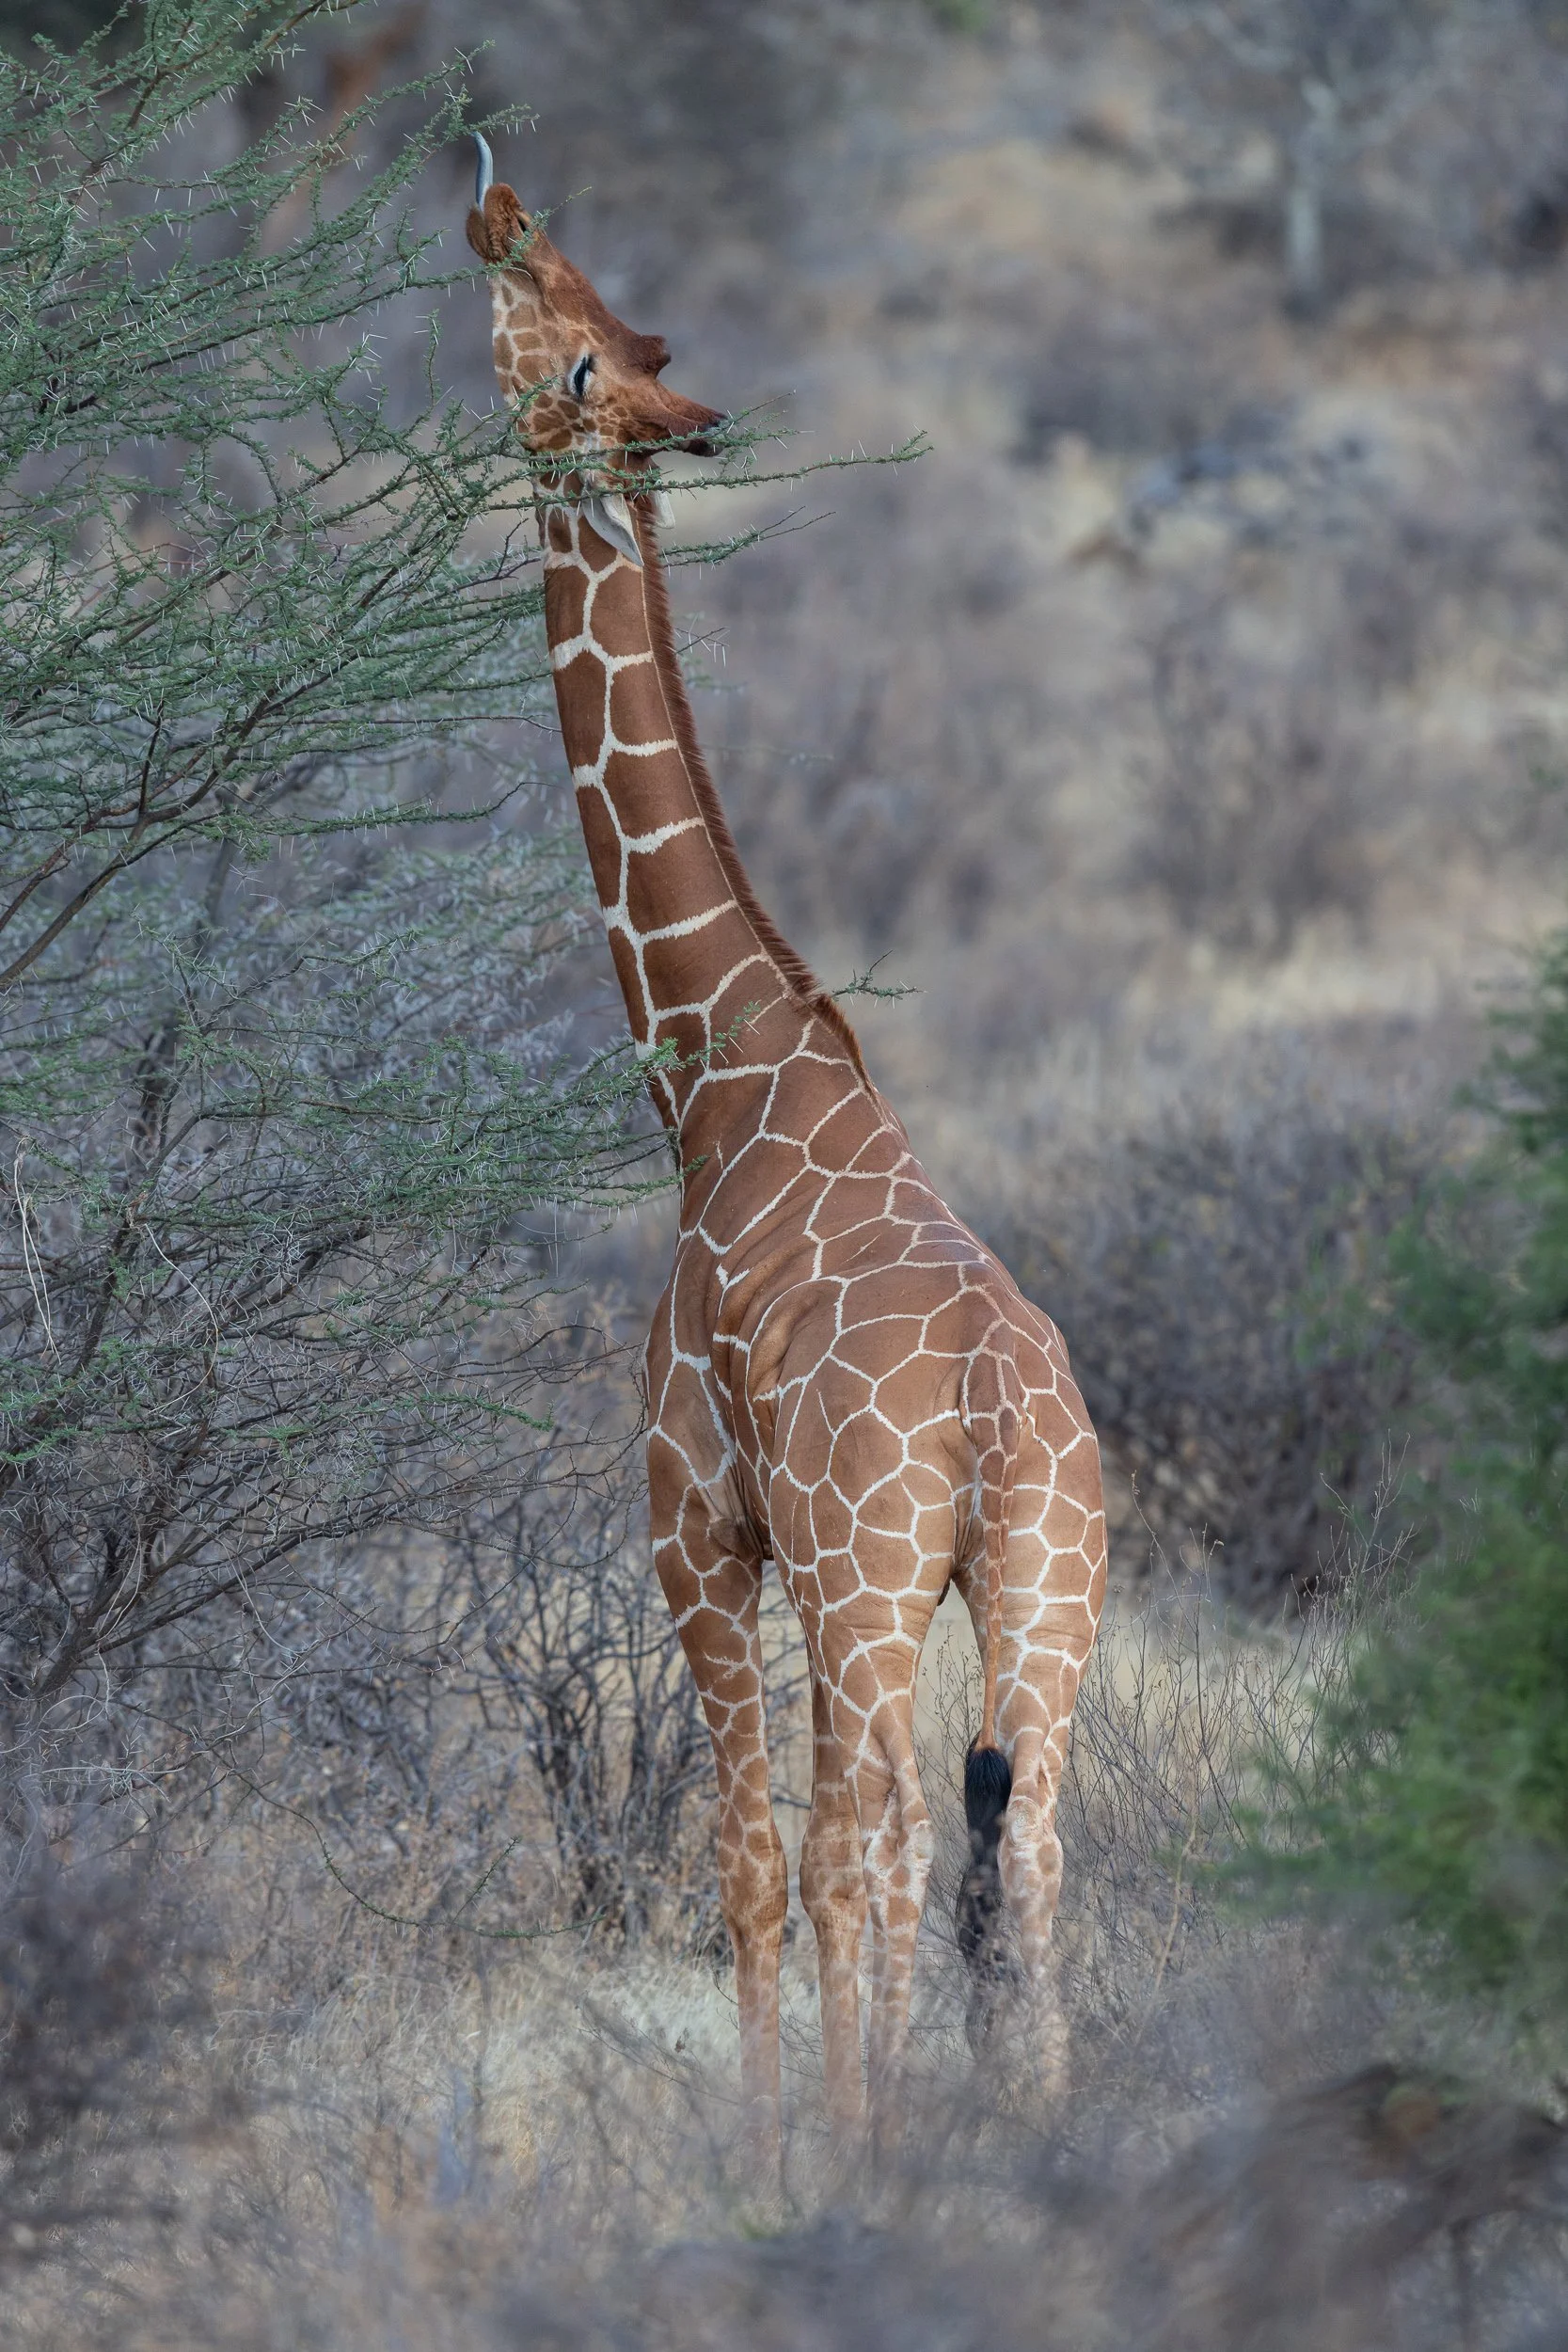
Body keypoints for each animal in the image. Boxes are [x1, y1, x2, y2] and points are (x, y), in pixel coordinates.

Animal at [466, 140, 1107, 2155]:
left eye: (571, 341)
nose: (487, 211)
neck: (716, 1083)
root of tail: (991, 1401)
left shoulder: (696, 1526)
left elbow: (750, 1861)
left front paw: (762, 2153)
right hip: (1048, 1572)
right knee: (1021, 1842)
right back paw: (1029, 2144)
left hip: (868, 1568)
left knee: (856, 1845)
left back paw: (858, 2150)